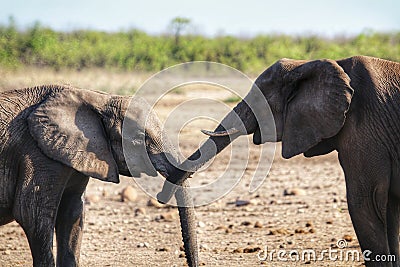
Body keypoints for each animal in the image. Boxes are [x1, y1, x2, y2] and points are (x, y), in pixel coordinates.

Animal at [0, 85, 198, 267]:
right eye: (138, 138)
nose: (160, 196)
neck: (96, 99)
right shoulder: (37, 154)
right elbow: (31, 215)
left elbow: (72, 214)